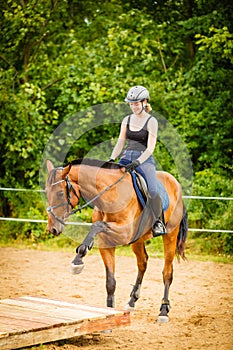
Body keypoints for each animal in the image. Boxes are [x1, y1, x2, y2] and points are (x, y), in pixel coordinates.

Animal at [45, 159, 187, 322]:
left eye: (60, 193)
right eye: (47, 192)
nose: (52, 229)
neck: (109, 194)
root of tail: (175, 183)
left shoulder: (124, 232)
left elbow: (97, 226)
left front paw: (78, 259)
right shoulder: (107, 243)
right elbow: (110, 282)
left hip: (170, 235)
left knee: (167, 272)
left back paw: (163, 311)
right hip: (138, 240)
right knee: (142, 263)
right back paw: (131, 301)